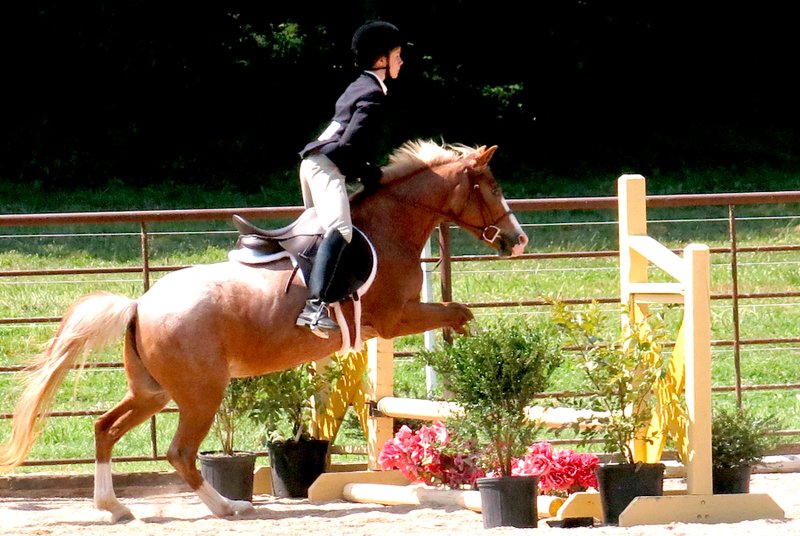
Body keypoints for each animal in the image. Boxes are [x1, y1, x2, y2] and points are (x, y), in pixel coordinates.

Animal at [0, 138, 528, 520]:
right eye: (491, 186)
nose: (518, 240)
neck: (389, 228)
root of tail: (140, 304)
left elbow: (458, 312)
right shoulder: (396, 318)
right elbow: (459, 312)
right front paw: (471, 362)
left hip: (153, 391)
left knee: (105, 429)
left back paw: (113, 507)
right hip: (200, 393)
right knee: (180, 452)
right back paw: (228, 506)